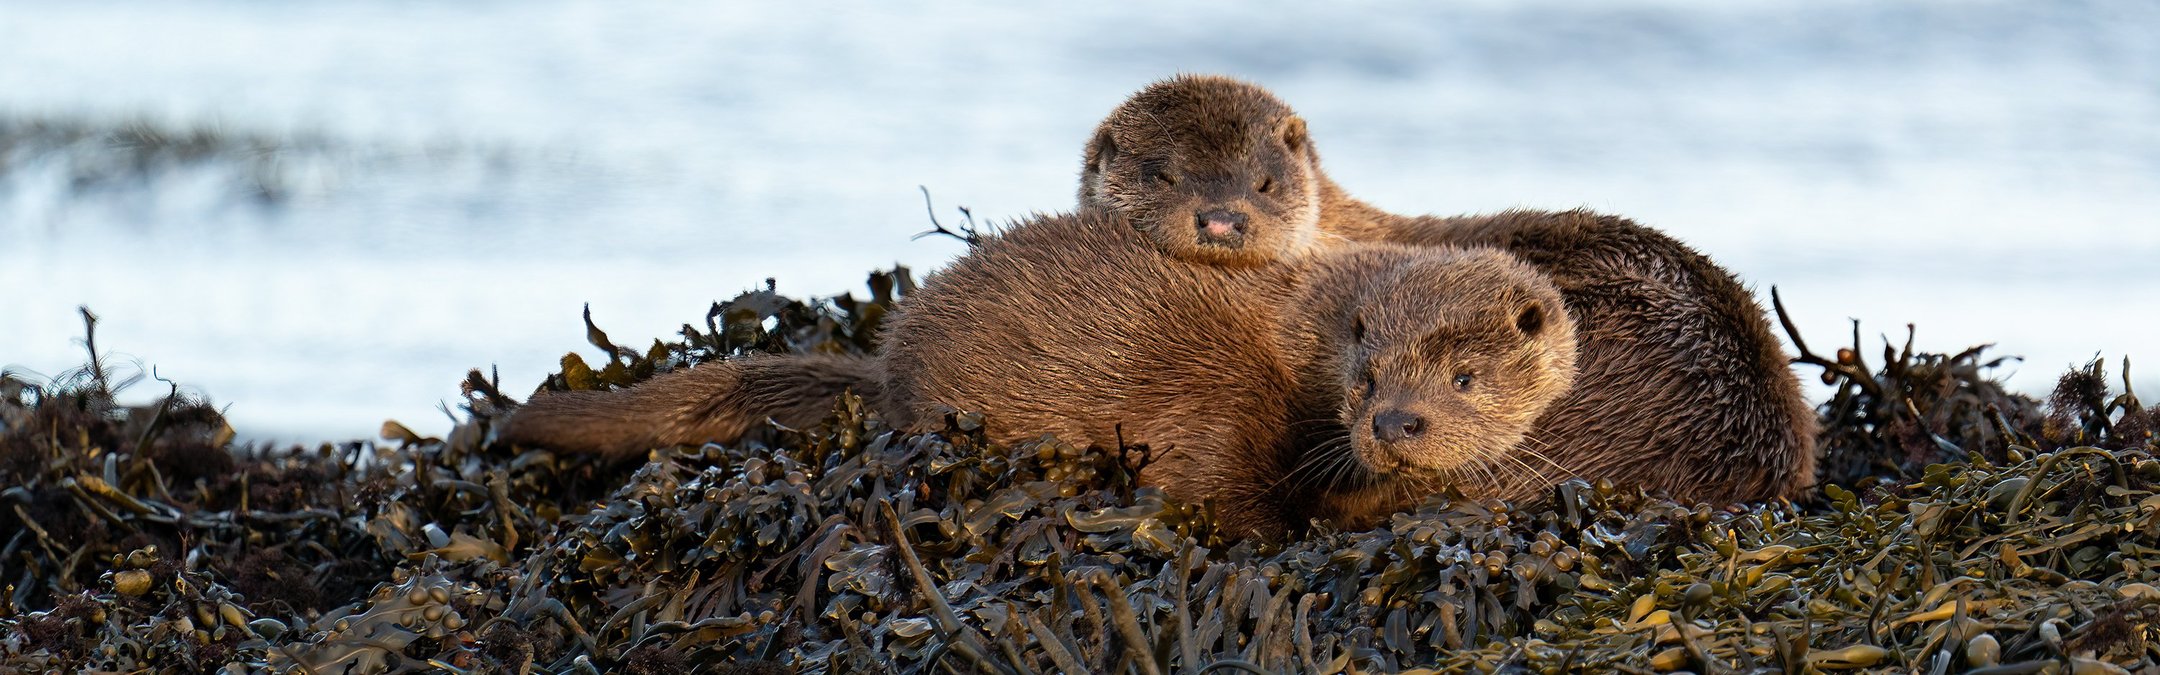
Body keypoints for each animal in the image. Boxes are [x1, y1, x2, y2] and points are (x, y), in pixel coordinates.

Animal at [498, 211, 1577, 536]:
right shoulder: (1224, 406)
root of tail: (889, 358)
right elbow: (1221, 496)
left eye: (1466, 379)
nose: (1395, 425)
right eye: (1368, 372)